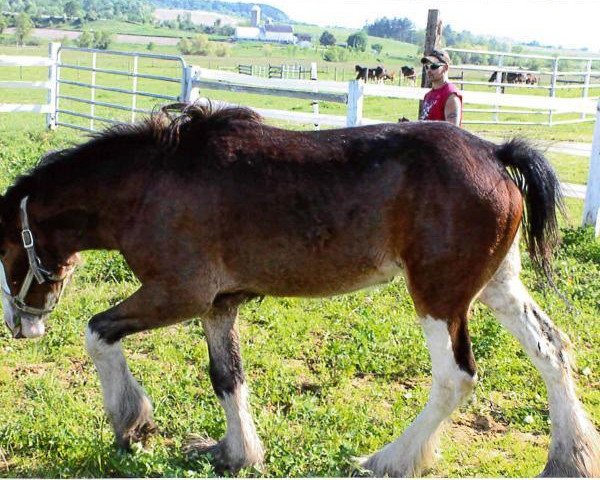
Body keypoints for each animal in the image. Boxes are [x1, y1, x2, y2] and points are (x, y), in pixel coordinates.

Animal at [1, 103, 600, 478]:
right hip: (498, 287)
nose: (20, 325)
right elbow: (226, 378)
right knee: (553, 351)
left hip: (439, 297)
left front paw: (132, 422)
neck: (151, 184)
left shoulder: (178, 295)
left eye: (7, 253)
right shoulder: (218, 306)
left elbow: (97, 332)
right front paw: (236, 453)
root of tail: (496, 154)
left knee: (456, 378)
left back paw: (389, 460)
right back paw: (568, 458)